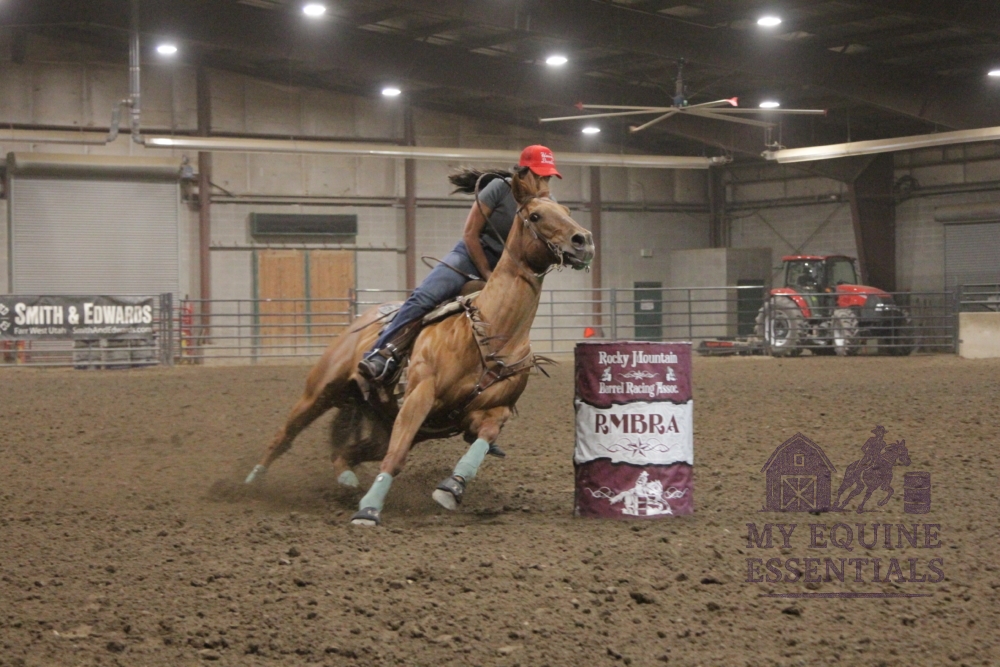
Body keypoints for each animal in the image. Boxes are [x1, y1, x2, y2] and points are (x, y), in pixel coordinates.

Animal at [243, 174, 595, 526]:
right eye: (535, 215)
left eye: (566, 211)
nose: (584, 240)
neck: (493, 330)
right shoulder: (420, 394)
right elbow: (396, 458)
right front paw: (368, 511)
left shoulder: (492, 411)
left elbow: (483, 439)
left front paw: (452, 487)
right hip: (321, 390)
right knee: (285, 436)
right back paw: (250, 483)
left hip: (383, 421)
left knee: (346, 452)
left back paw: (346, 480)